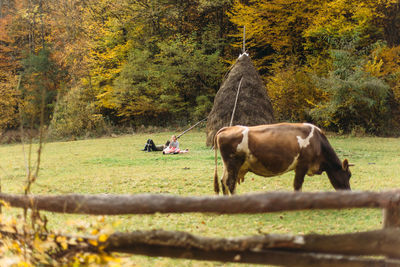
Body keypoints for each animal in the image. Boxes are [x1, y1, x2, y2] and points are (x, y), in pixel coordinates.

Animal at [212, 122, 350, 196]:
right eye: (348, 175)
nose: (349, 191)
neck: (318, 142)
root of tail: (228, 128)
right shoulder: (302, 165)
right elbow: (297, 184)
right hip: (233, 163)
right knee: (230, 182)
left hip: (228, 165)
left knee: (223, 181)